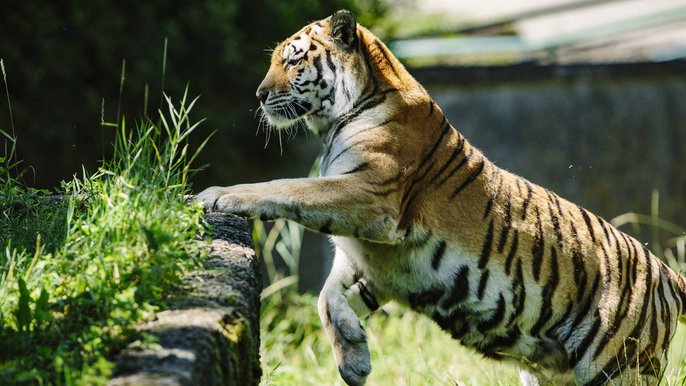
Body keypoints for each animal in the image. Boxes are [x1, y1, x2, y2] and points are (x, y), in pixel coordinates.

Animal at [196, 9, 686, 386]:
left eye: (294, 61)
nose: (259, 95)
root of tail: (666, 273)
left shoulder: (369, 195)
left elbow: (285, 188)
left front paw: (217, 195)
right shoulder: (378, 261)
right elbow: (327, 298)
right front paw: (354, 359)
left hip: (617, 368)